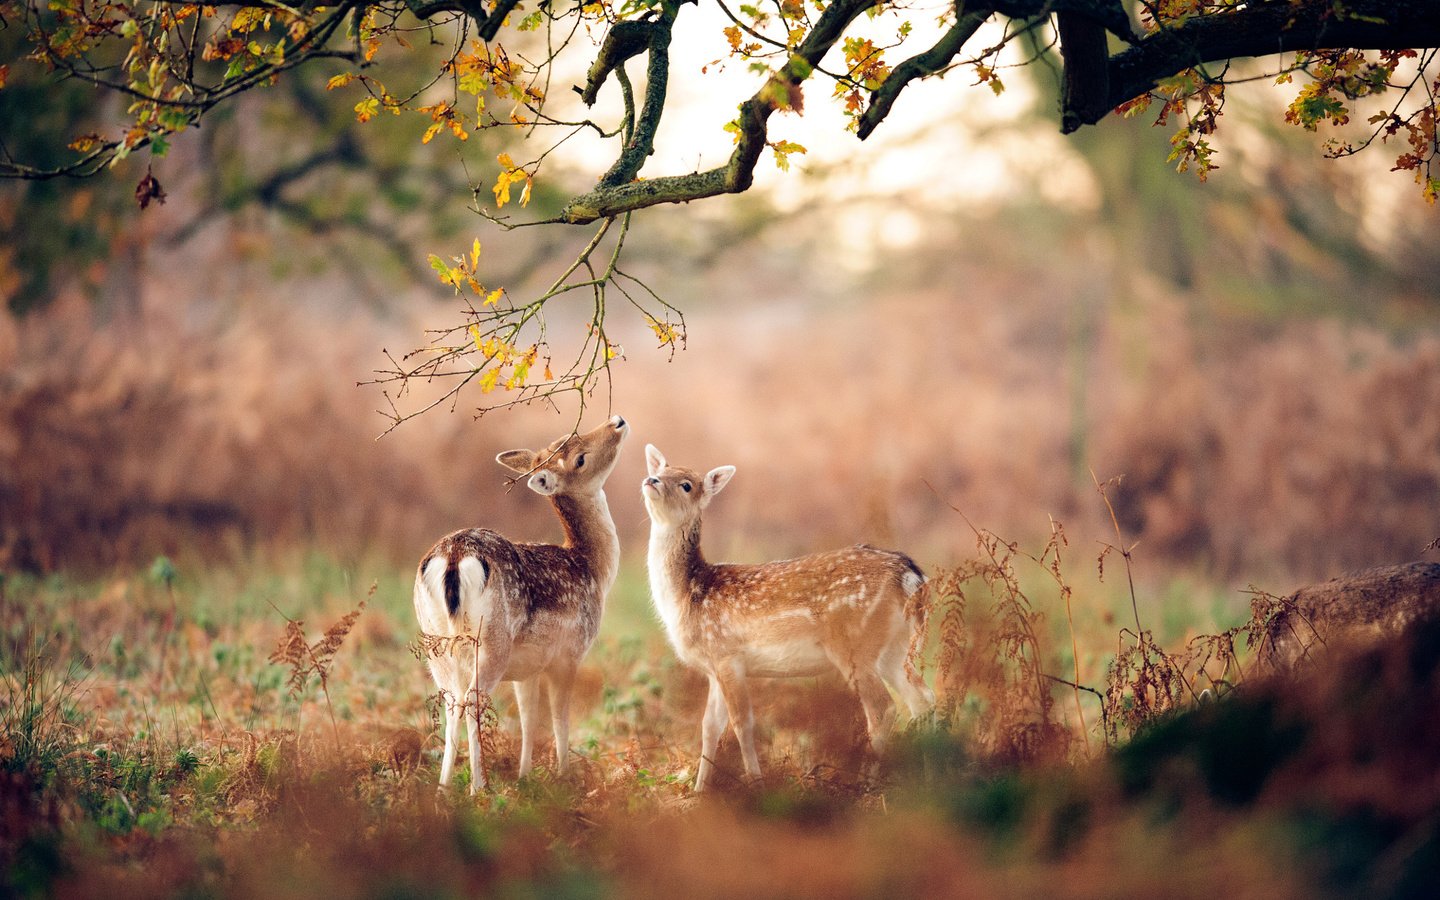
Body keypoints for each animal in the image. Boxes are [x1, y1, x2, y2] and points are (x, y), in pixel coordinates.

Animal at [408, 411, 627, 789]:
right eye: (579, 459)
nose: (617, 421)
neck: (593, 569)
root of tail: (452, 556)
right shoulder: (569, 654)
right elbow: (559, 718)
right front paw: (563, 776)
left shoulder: (528, 669)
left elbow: (528, 716)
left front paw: (525, 777)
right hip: (492, 640)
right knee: (473, 700)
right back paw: (478, 787)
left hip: (436, 642)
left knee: (452, 701)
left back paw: (443, 788)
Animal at [642, 443, 933, 783]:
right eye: (661, 470)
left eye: (687, 484)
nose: (651, 480)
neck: (688, 595)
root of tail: (911, 576)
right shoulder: (713, 667)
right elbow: (709, 727)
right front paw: (700, 789)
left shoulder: (727, 655)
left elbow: (742, 723)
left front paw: (755, 781)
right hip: (894, 649)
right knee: (922, 699)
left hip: (855, 645)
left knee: (883, 708)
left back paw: (867, 781)